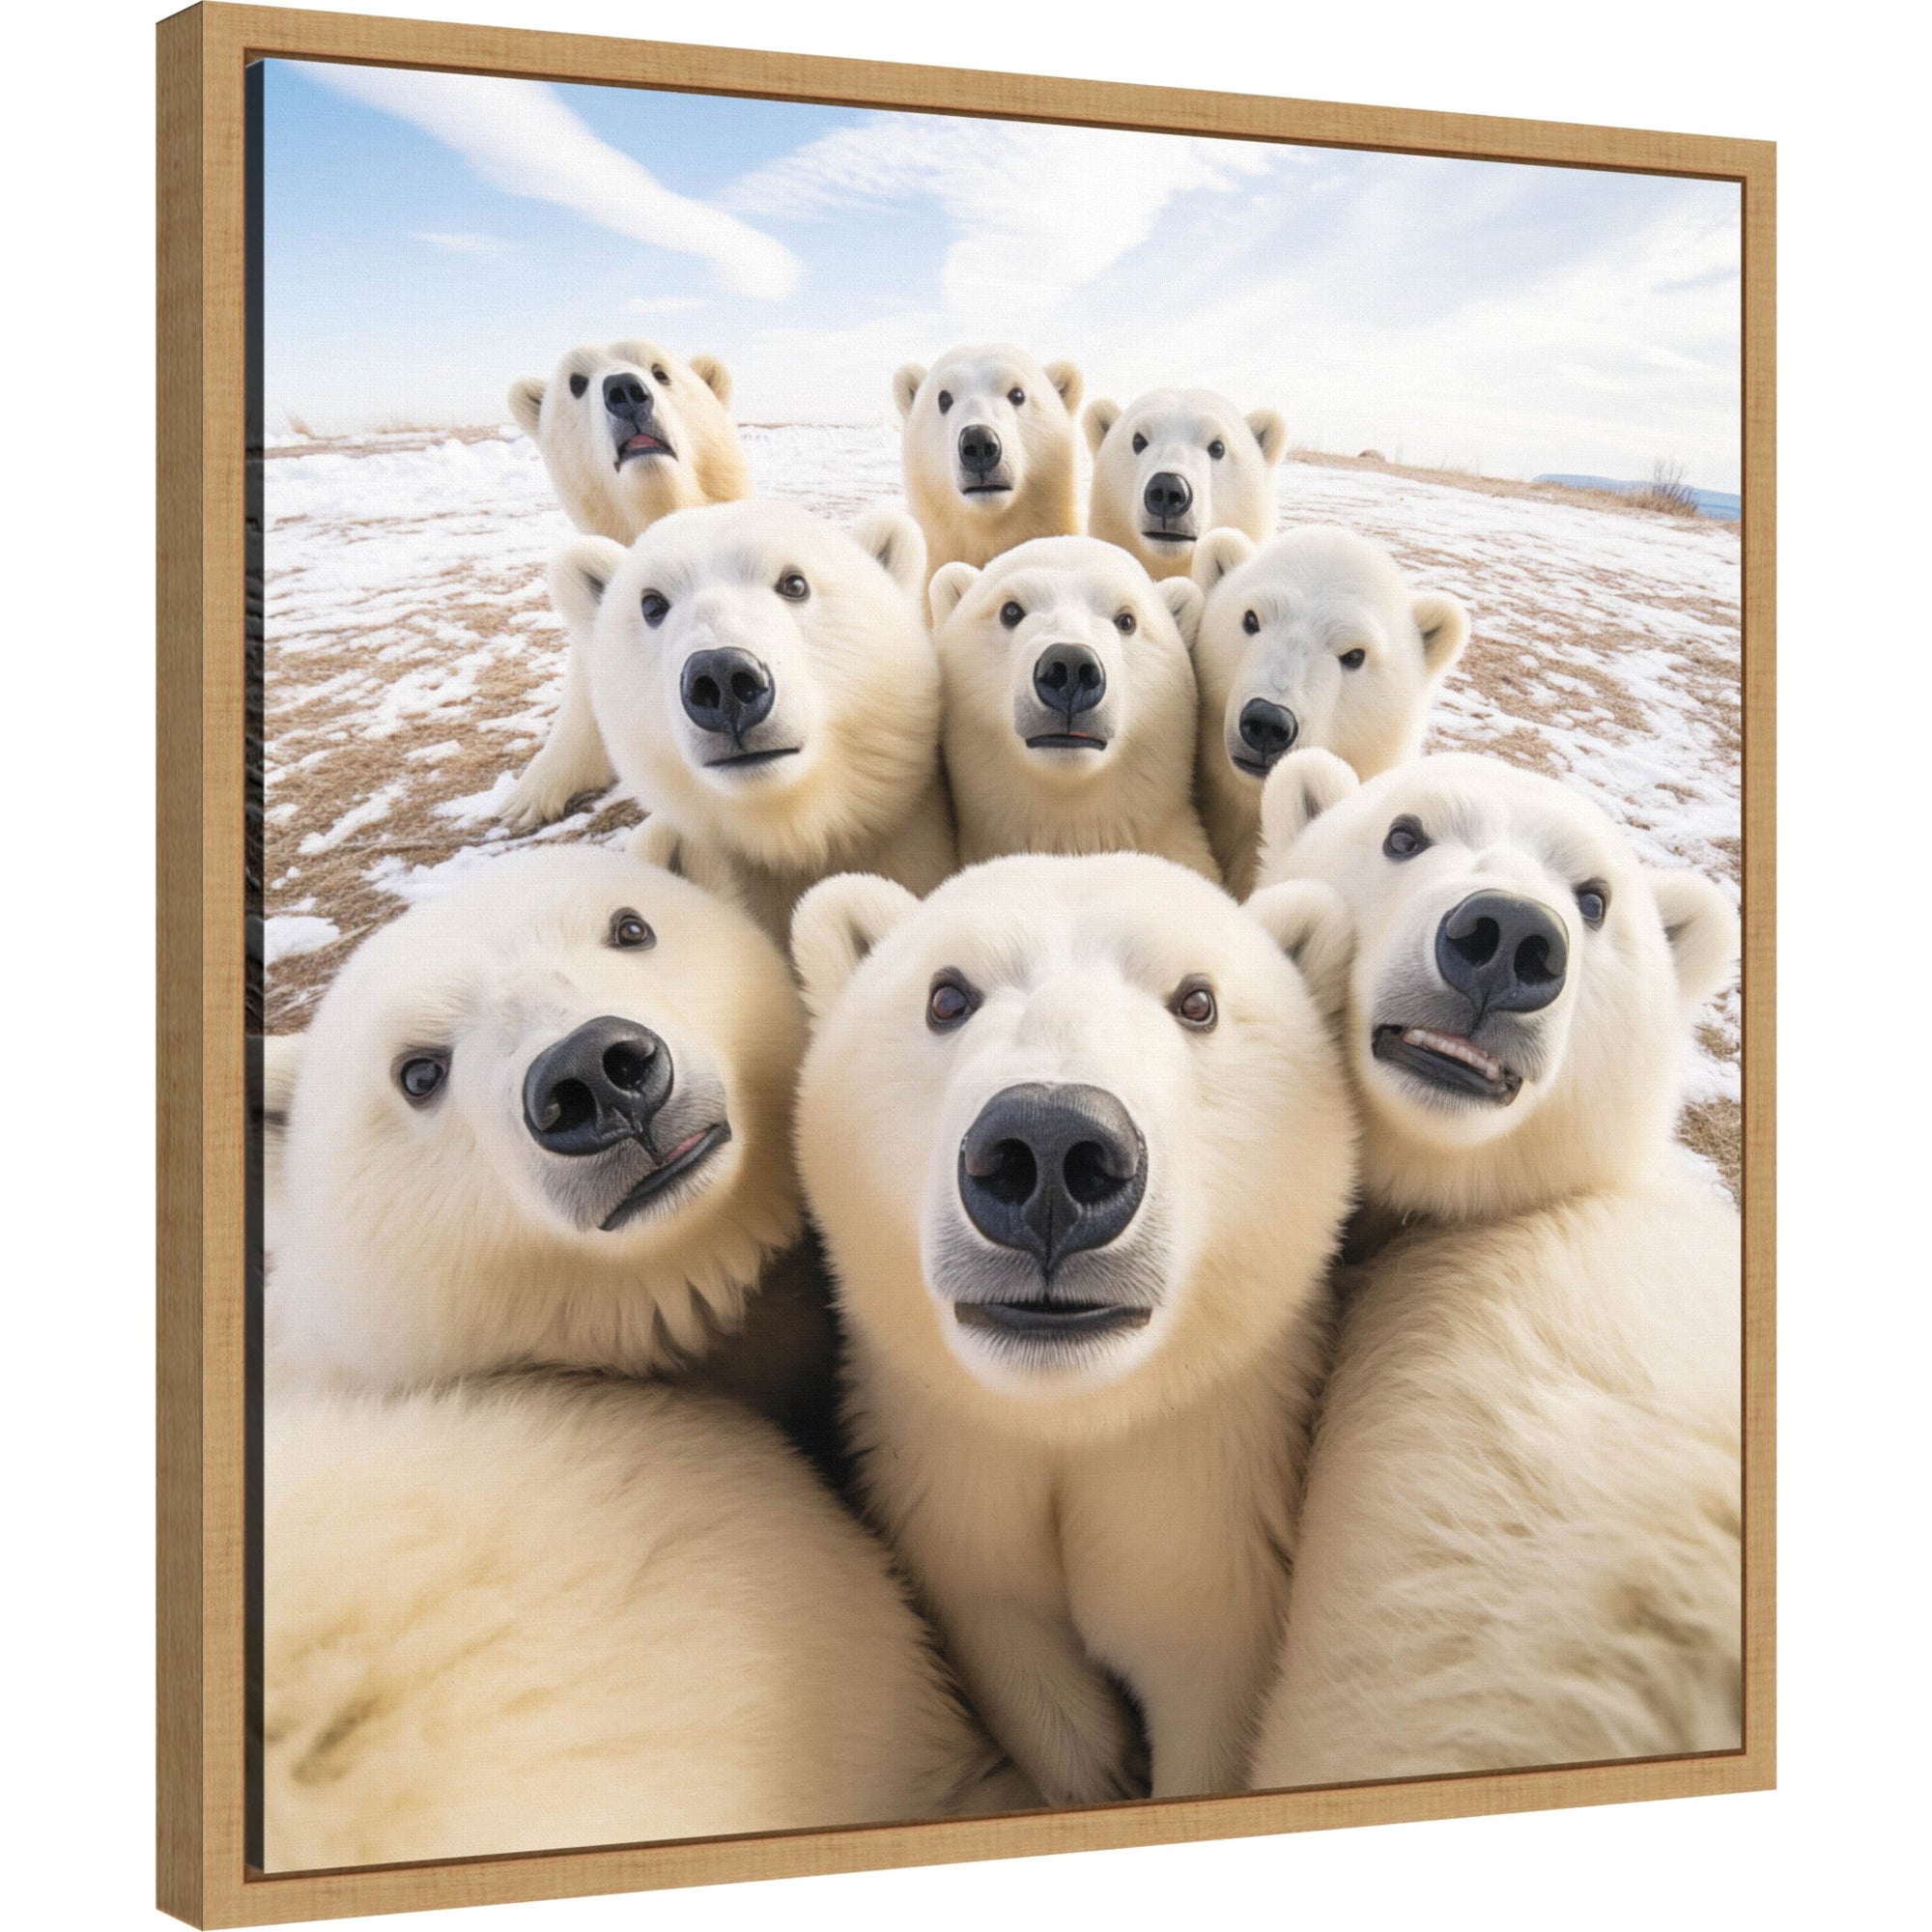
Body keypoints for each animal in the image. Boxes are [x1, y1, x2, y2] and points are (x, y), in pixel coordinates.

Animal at [791, 852, 1359, 1804]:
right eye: (948, 994)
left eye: (1197, 1001)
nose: (1052, 1149)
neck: (1072, 1417)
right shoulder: (951, 1476)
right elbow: (1008, 1635)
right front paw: (1100, 1767)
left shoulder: (1206, 1491)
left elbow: (1203, 1668)